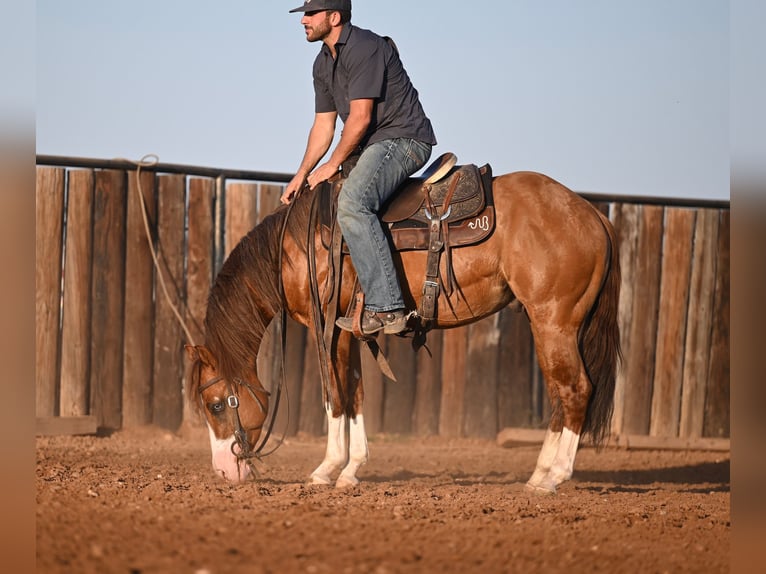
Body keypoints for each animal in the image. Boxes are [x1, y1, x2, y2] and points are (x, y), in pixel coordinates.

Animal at [186, 165, 624, 496]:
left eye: (216, 405)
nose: (224, 471)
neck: (298, 246)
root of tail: (593, 215)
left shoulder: (327, 327)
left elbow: (336, 397)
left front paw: (326, 469)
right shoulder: (350, 330)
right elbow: (356, 393)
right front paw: (351, 471)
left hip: (554, 321)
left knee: (575, 389)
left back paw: (553, 478)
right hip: (553, 326)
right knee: (561, 393)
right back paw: (539, 474)